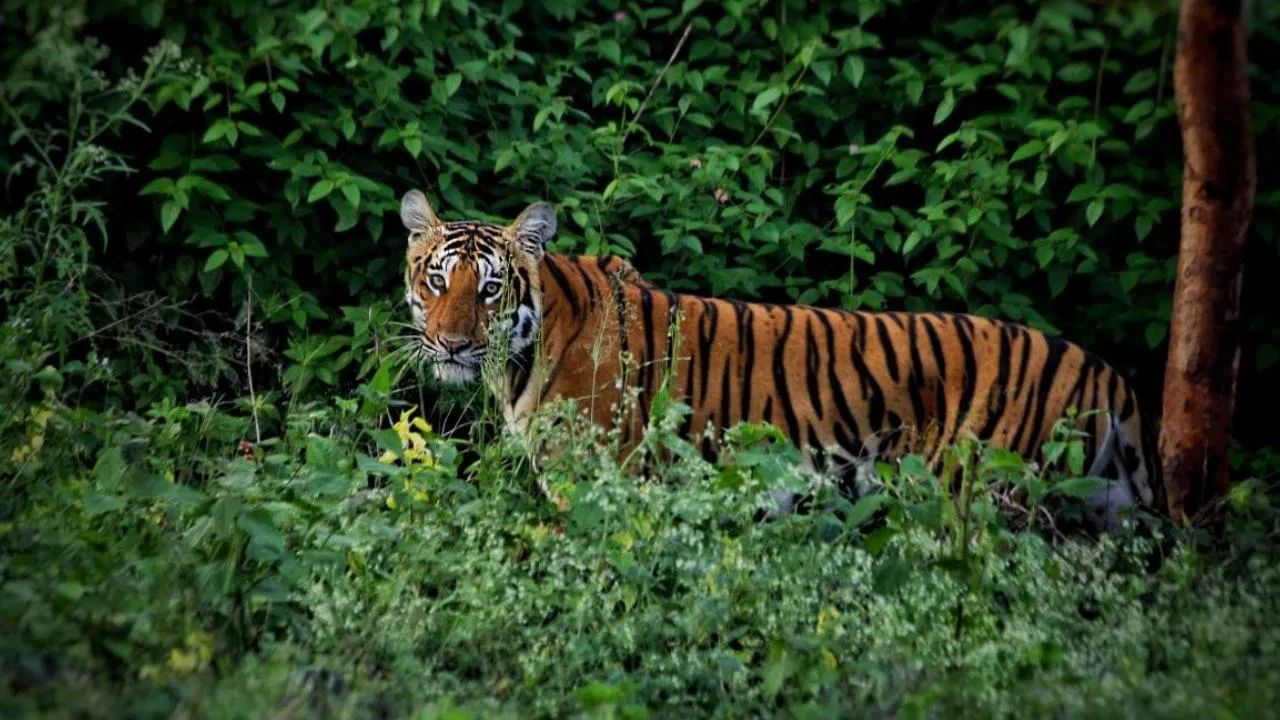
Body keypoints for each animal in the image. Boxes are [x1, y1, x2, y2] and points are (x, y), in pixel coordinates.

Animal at [399, 190, 1162, 527]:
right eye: (437, 280)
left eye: (490, 289)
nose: (452, 343)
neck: (521, 357)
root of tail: (1102, 368)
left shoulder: (597, 483)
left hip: (979, 498)